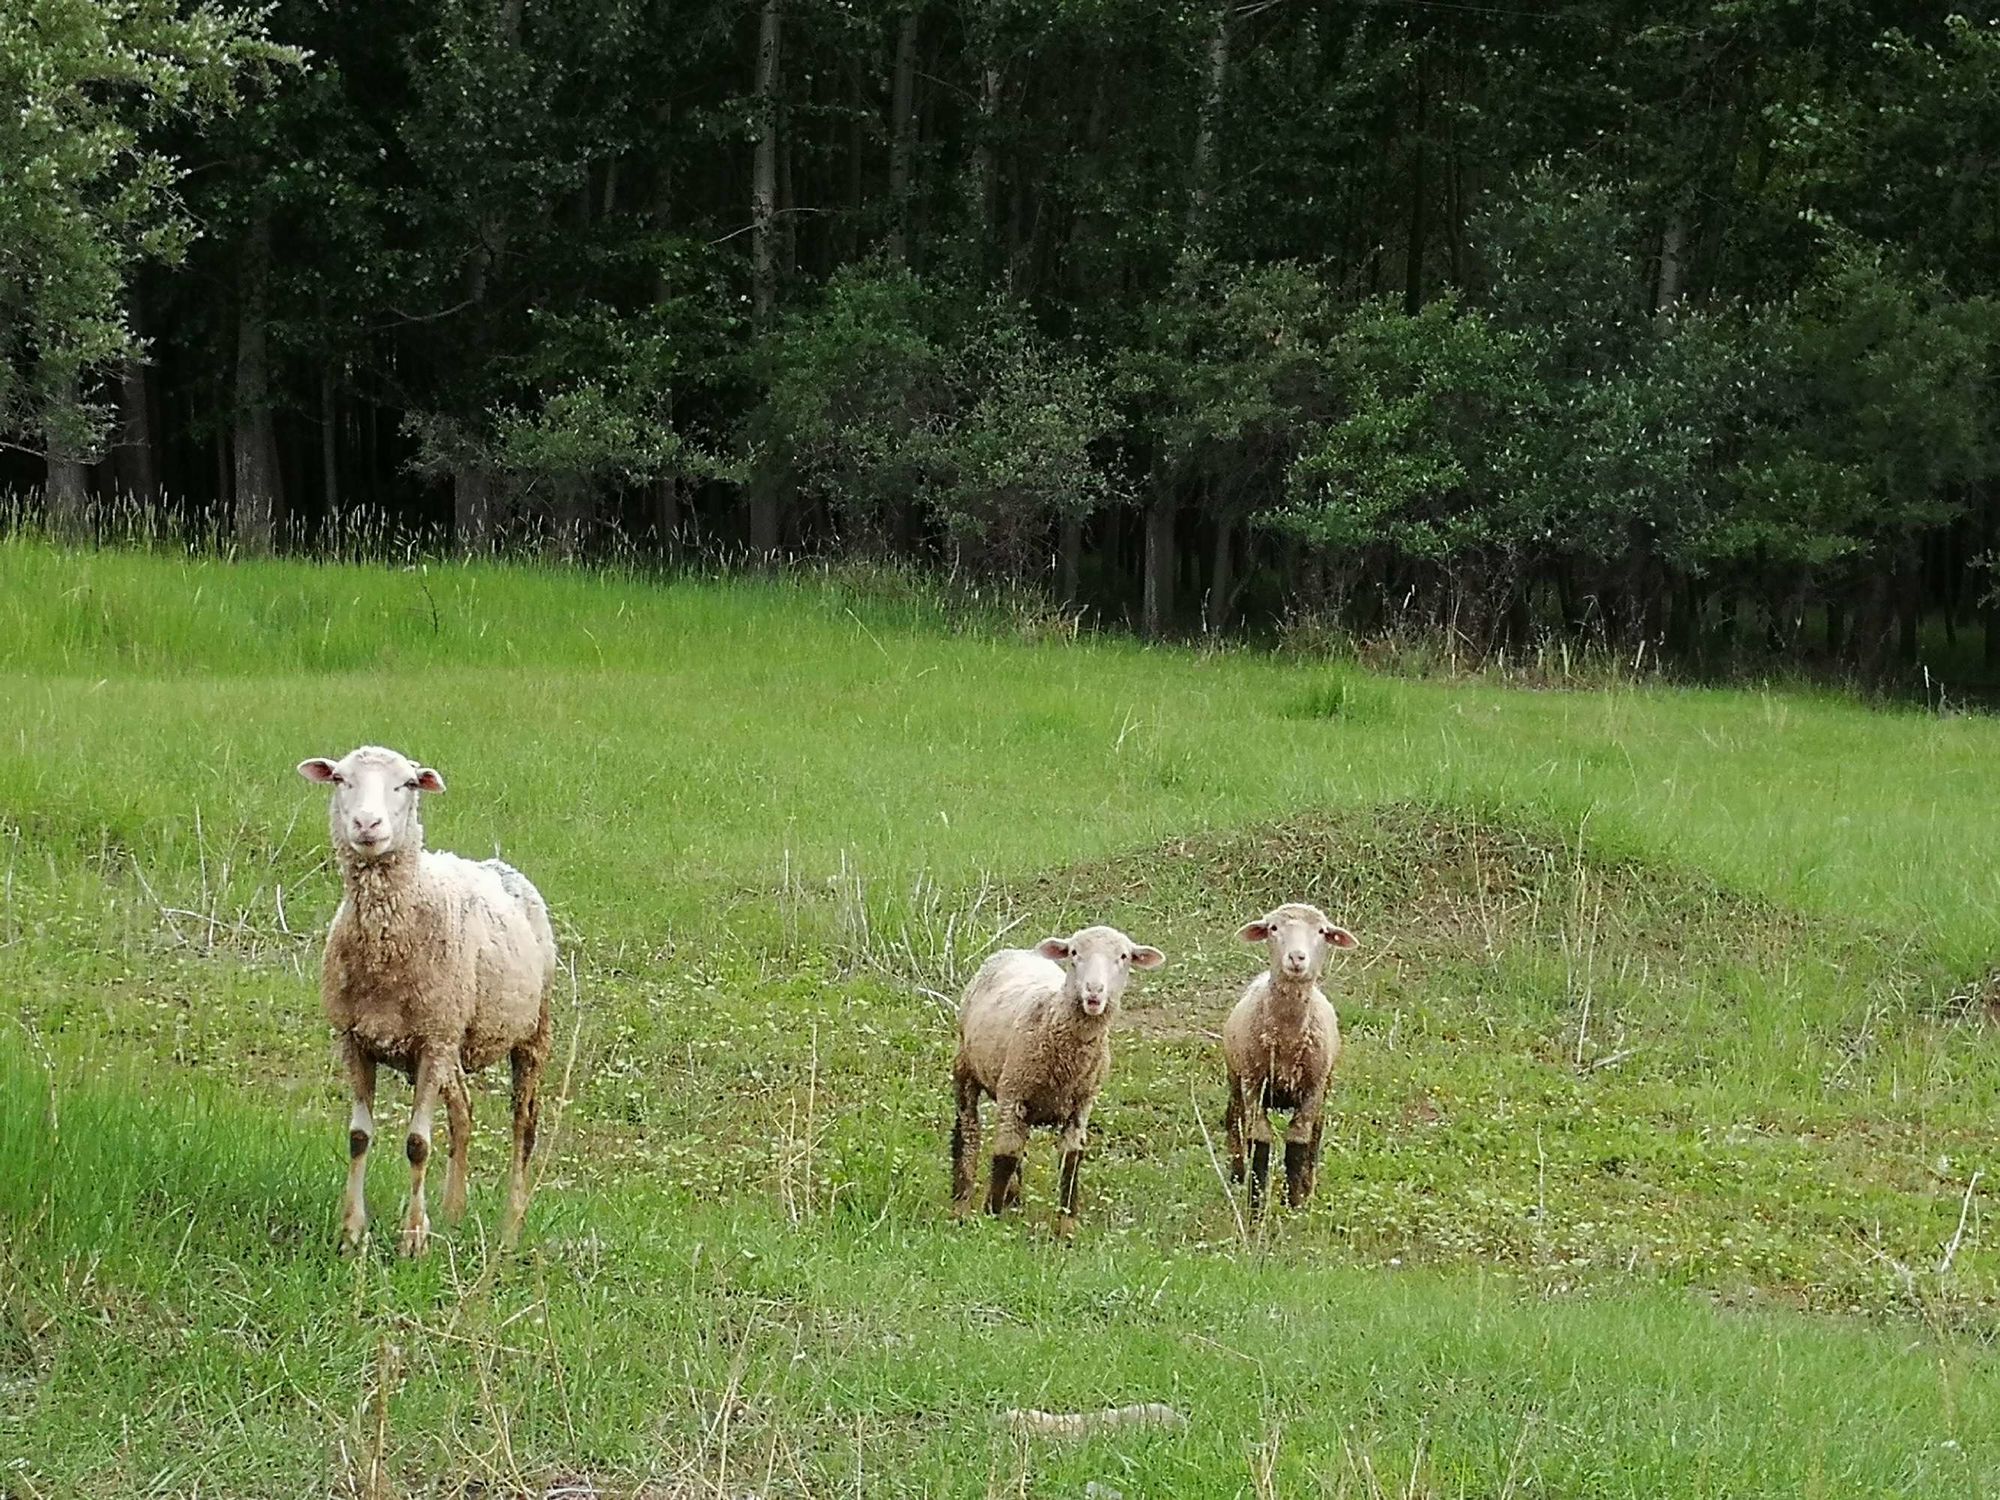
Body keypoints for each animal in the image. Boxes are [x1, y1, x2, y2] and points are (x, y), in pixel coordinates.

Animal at [292, 748, 556, 1256]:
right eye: (339, 779)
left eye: (408, 784)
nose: (367, 823)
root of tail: (499, 866)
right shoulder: (355, 1039)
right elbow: (358, 1137)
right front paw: (352, 1234)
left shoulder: (432, 1044)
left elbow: (418, 1144)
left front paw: (413, 1240)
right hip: (449, 1039)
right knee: (463, 1113)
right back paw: (452, 1213)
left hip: (531, 1031)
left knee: (525, 1126)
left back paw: (510, 1229)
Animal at [944, 928, 1168, 1232]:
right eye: (1074, 952)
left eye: (1123, 956)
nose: (1094, 991)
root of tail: (1016, 951)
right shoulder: (1013, 1091)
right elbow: (1004, 1156)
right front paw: (992, 1217)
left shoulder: (1081, 1103)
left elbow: (1070, 1161)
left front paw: (1066, 1226)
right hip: (966, 1067)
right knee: (968, 1133)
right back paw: (962, 1200)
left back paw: (1014, 1200)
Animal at [1216, 900, 1360, 1216]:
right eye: (1273, 928)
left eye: (1321, 931)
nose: (1297, 958)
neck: (1288, 1040)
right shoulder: (1253, 1084)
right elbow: (1260, 1141)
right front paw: (1255, 1207)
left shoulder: (1313, 1089)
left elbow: (1298, 1142)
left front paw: (1294, 1204)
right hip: (1235, 1077)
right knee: (1234, 1121)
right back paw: (1237, 1175)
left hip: (1324, 1086)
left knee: (1315, 1137)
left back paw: (1308, 1185)